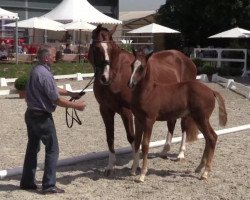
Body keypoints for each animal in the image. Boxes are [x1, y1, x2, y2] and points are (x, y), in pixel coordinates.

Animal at [89, 24, 198, 175]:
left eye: (111, 49)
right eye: (96, 48)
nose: (105, 77)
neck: (117, 74)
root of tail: (187, 59)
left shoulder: (126, 111)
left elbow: (132, 137)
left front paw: (136, 165)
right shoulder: (105, 110)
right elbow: (110, 137)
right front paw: (110, 166)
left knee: (184, 125)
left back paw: (180, 153)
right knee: (171, 123)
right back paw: (165, 150)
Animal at [128, 50, 228, 182]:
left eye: (142, 67)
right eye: (132, 65)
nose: (130, 83)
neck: (148, 92)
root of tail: (211, 91)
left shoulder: (149, 121)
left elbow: (145, 145)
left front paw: (142, 174)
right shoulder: (138, 120)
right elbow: (137, 143)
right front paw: (134, 170)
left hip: (202, 118)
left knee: (212, 137)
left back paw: (205, 173)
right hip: (199, 119)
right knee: (208, 138)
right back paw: (199, 168)